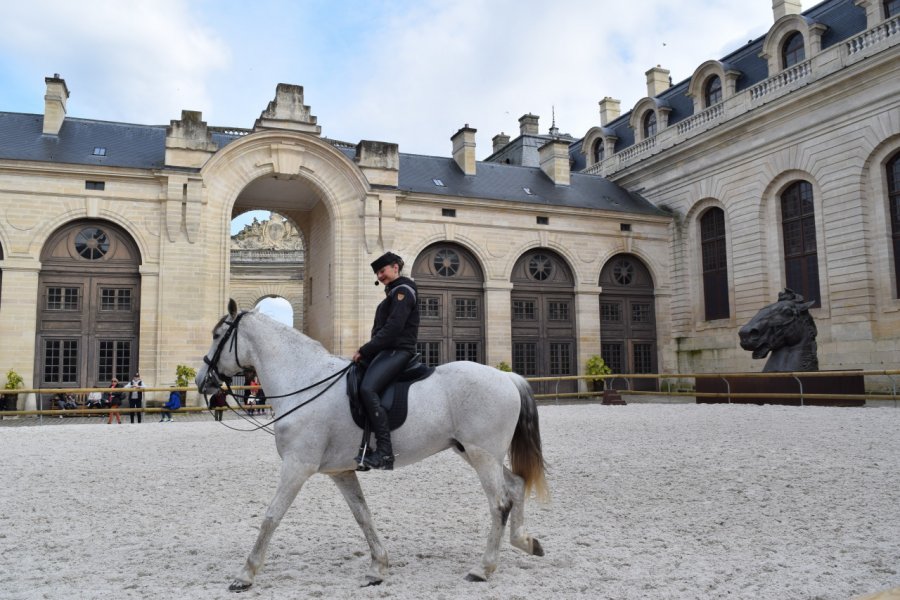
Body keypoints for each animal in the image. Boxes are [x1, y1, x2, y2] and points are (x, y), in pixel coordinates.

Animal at [197, 300, 548, 592]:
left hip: (482, 455)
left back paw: (483, 568)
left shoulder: (297, 466)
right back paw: (526, 542)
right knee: (516, 485)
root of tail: (507, 377)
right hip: (474, 452)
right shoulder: (340, 471)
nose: (202, 380)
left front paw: (245, 575)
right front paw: (378, 567)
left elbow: (271, 516)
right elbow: (362, 515)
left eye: (216, 335)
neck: (303, 381)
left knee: (499, 503)